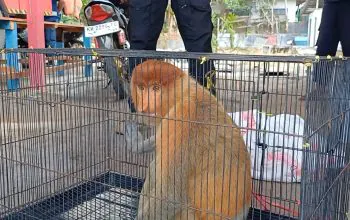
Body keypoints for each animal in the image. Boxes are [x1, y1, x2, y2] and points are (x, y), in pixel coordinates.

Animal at [130, 59, 250, 219]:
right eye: (141, 88)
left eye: (156, 88)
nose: (144, 105)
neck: (183, 94)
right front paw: (136, 143)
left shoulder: (183, 117)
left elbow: (170, 195)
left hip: (188, 215)